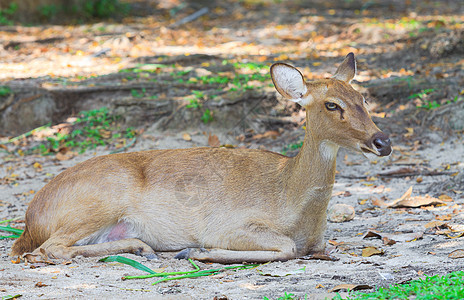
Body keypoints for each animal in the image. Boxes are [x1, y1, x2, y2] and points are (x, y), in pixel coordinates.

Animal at [10, 53, 392, 262]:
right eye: (332, 105)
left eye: (363, 98)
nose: (383, 141)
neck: (292, 202)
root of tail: (32, 218)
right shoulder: (228, 223)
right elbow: (285, 247)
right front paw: (196, 251)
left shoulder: (320, 241)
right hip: (98, 199)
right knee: (46, 249)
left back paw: (141, 247)